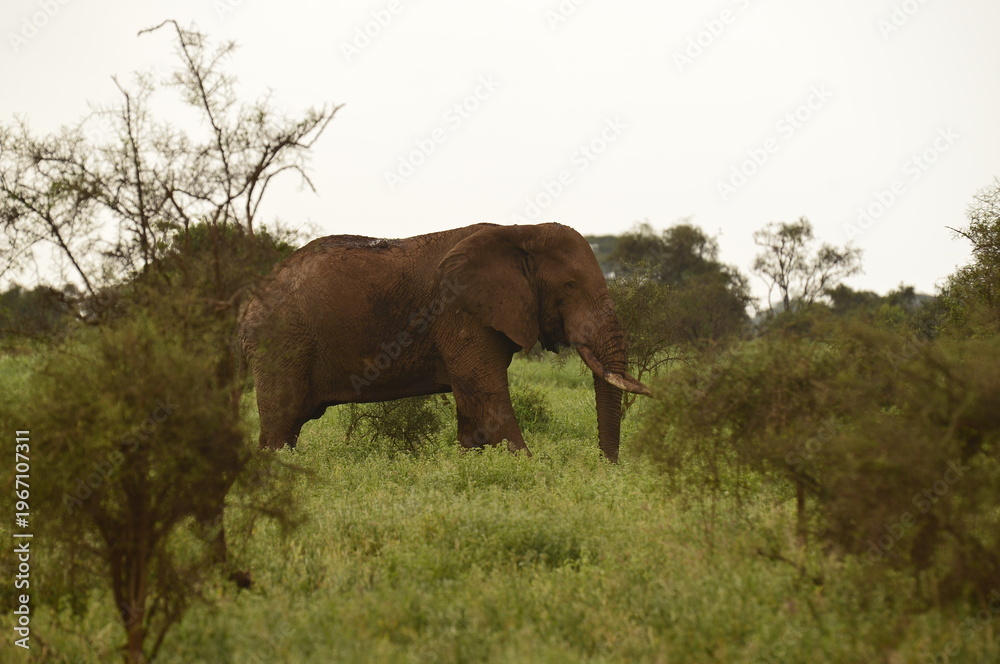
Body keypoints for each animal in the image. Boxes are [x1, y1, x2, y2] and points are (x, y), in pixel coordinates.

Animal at [238, 222, 651, 462]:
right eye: (569, 286)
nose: (605, 468)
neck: (519, 231)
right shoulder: (460, 313)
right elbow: (488, 398)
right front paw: (528, 468)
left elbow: (474, 412)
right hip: (281, 342)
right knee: (281, 426)